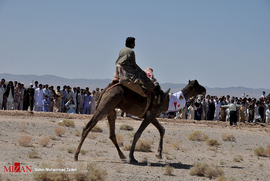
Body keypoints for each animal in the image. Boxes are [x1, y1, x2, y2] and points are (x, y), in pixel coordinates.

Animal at [75, 79, 206, 163]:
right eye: (197, 85)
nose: (204, 89)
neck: (167, 100)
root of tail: (106, 89)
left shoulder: (151, 115)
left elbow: (162, 130)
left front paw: (159, 154)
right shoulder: (151, 115)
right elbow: (138, 134)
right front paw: (132, 157)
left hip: (111, 110)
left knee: (111, 134)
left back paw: (121, 155)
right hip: (104, 107)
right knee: (88, 127)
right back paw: (76, 155)